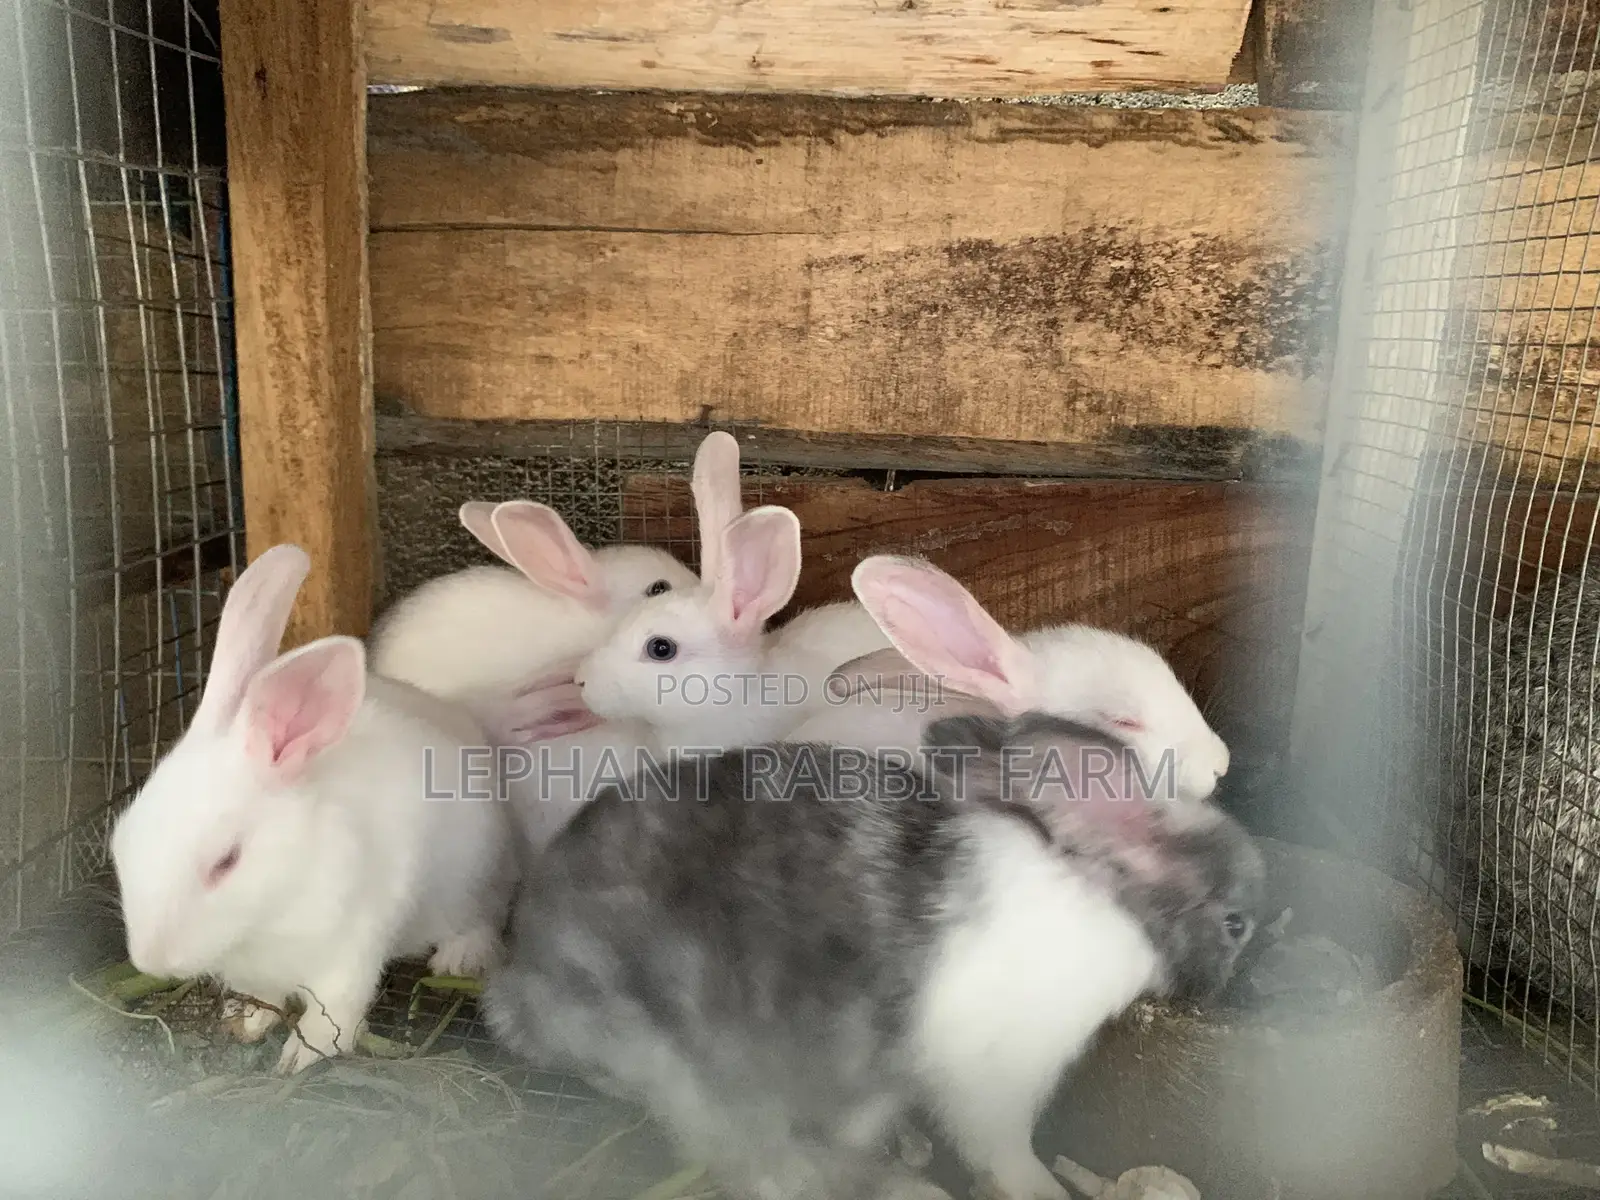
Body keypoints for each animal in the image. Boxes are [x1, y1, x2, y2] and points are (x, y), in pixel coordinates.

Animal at [110, 544, 518, 1076]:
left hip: (479, 878)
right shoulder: (254, 970)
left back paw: (456, 960)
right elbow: (262, 996)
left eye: (226, 861)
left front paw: (298, 1057)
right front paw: (247, 1021)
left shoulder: (350, 948)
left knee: (481, 918)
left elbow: (334, 1014)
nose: (150, 962)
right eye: (120, 844)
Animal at [481, 711, 1265, 1200]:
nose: (1231, 982)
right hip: (682, 1060)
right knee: (744, 1157)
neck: (1104, 904)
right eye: (1235, 924)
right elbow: (1004, 1150)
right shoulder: (995, 1082)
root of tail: (521, 983)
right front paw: (1039, 1188)